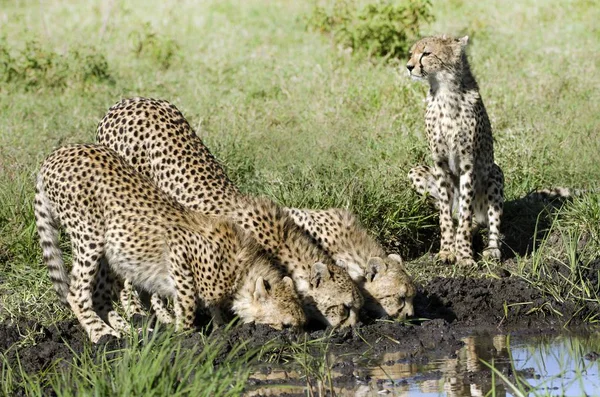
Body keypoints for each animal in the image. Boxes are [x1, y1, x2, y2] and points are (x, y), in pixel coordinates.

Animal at [34, 144, 304, 342]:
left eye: (301, 324)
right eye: (285, 325)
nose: (296, 339)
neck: (241, 270)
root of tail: (57, 153)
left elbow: (211, 307)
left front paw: (220, 329)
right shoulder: (180, 249)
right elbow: (188, 301)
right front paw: (185, 336)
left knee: (100, 294)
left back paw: (130, 330)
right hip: (89, 236)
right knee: (77, 292)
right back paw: (102, 334)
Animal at [406, 34, 504, 266]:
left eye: (427, 53)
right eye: (411, 53)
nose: (409, 67)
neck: (444, 91)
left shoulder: (469, 165)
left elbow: (466, 213)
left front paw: (464, 255)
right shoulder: (440, 164)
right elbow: (444, 213)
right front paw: (447, 250)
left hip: (495, 174)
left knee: (488, 222)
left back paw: (492, 249)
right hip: (415, 171)